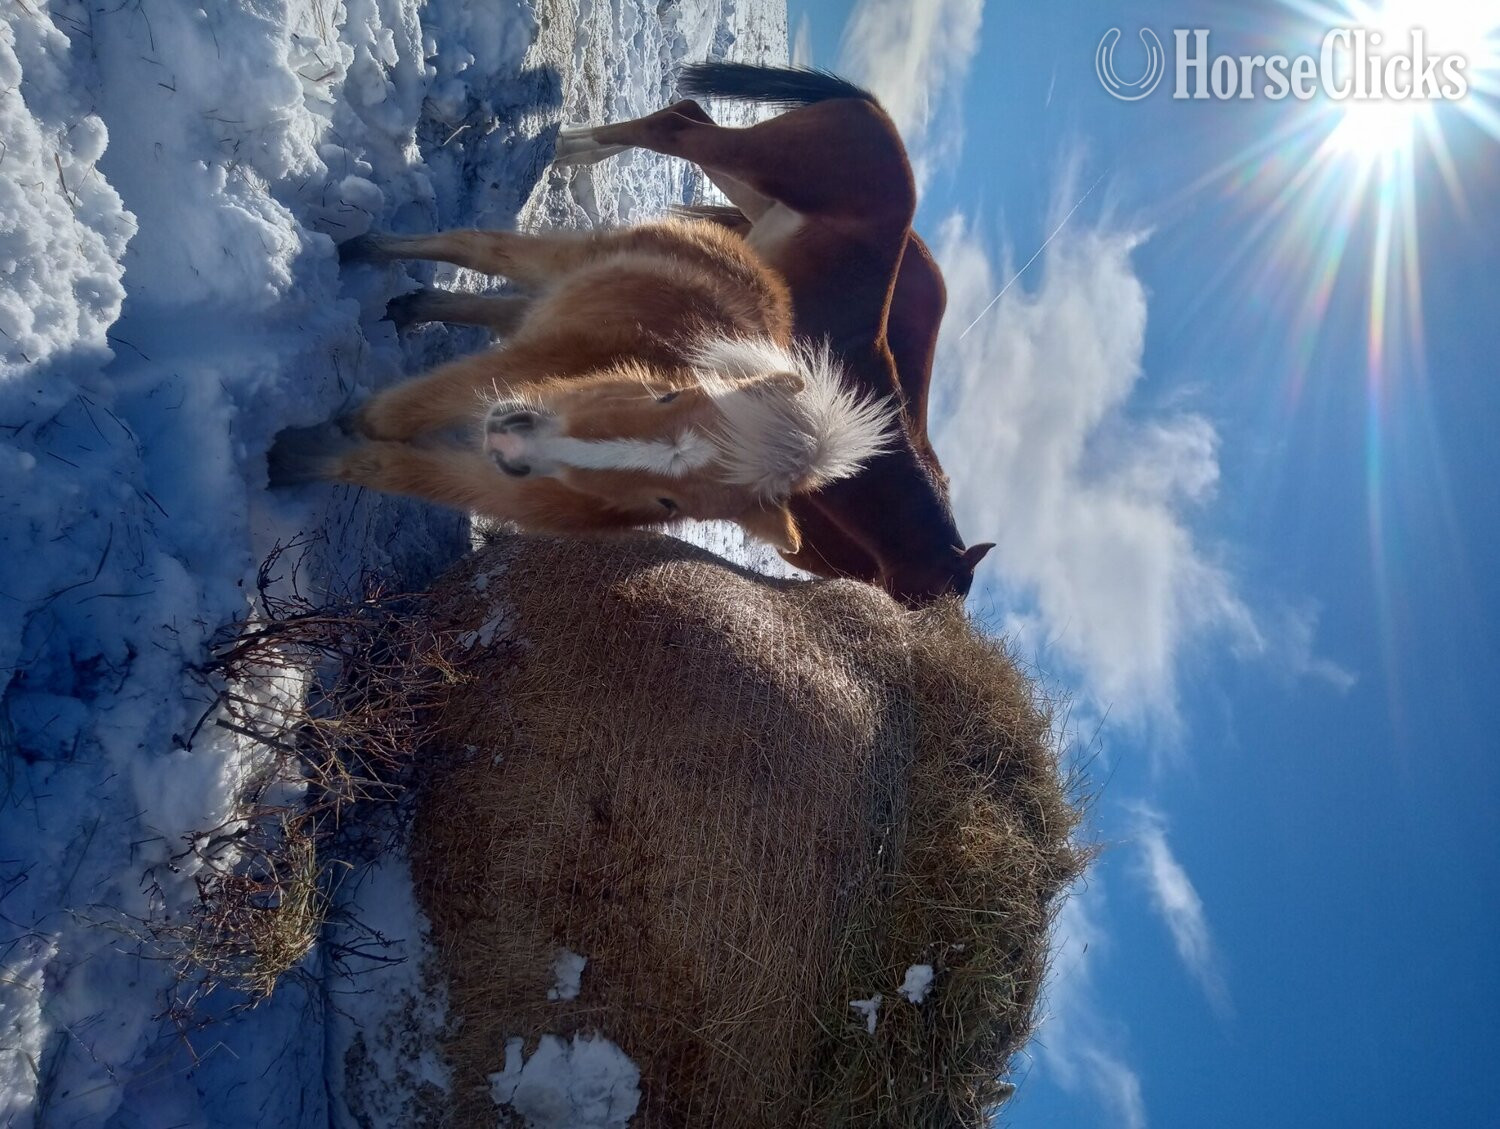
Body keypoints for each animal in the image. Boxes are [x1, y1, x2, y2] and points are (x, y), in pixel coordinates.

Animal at [267, 218, 894, 550]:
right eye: (669, 395)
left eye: (669, 502)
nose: (510, 440)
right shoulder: (488, 382)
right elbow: (392, 417)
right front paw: (303, 441)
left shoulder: (495, 487)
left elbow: (390, 467)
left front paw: (298, 460)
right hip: (557, 261)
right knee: (471, 244)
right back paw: (364, 249)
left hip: (552, 300)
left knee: (500, 307)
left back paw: (412, 306)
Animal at [553, 63, 994, 604]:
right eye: (921, 593)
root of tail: (876, 112)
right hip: (752, 163)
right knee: (673, 129)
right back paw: (566, 150)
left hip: (752, 192)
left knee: (686, 113)